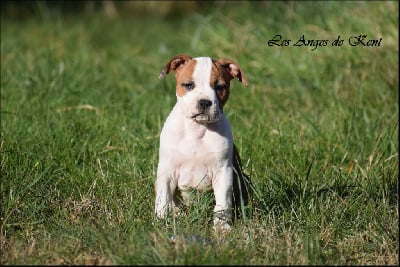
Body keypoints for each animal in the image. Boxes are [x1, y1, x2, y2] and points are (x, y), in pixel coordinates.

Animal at [155, 54, 247, 232]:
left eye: (220, 87)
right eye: (189, 85)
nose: (204, 102)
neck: (197, 129)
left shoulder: (223, 171)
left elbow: (222, 203)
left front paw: (222, 227)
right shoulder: (167, 170)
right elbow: (163, 198)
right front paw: (162, 221)